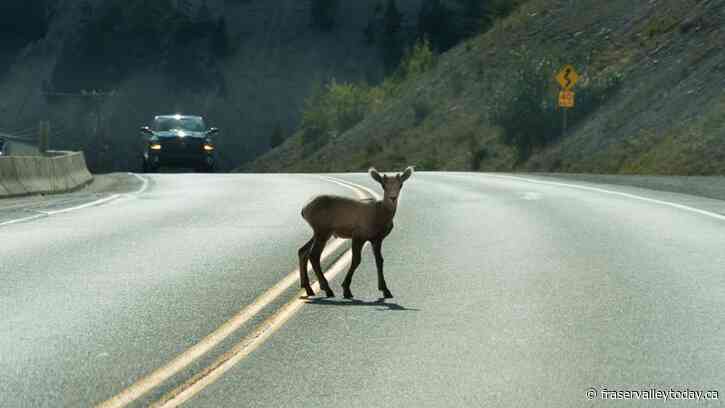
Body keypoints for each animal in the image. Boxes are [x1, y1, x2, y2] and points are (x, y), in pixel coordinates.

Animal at [298, 166, 414, 299]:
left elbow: (379, 261)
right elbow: (356, 261)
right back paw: (327, 289)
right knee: (313, 255)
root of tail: (304, 210)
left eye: (400, 185)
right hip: (322, 231)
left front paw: (385, 290)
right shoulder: (358, 237)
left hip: (320, 233)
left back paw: (308, 289)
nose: (393, 198)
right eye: (384, 185)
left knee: (303, 251)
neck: (379, 214)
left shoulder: (377, 239)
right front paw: (346, 289)